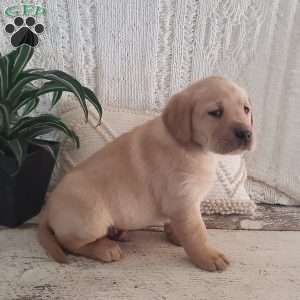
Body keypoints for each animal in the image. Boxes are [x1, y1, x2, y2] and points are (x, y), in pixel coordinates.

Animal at [38, 75, 254, 272]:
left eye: (246, 109)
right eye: (215, 112)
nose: (246, 133)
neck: (193, 147)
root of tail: (48, 209)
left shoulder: (182, 203)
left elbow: (179, 226)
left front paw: (176, 236)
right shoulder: (183, 201)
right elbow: (196, 233)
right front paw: (208, 256)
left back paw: (117, 233)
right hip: (91, 217)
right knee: (68, 243)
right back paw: (105, 248)